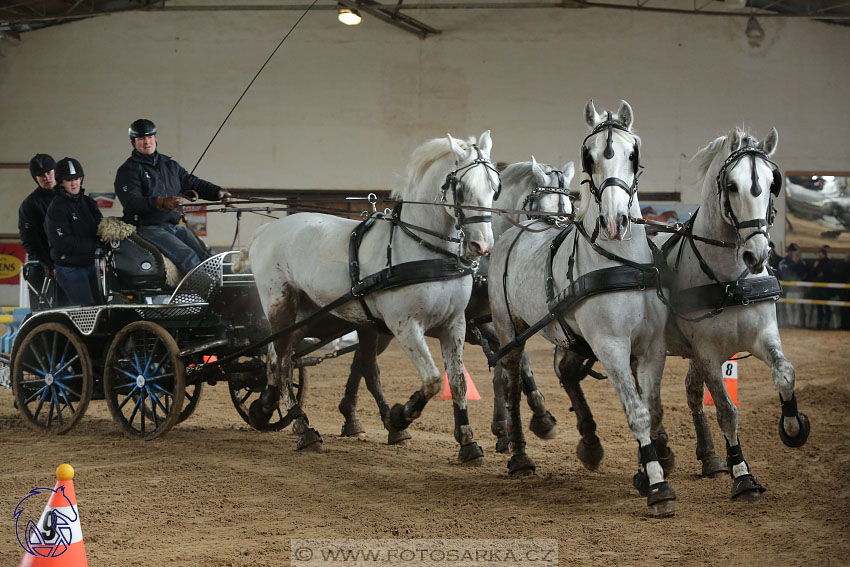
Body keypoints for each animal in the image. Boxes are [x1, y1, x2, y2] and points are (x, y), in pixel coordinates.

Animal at [237, 134, 496, 466]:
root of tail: (267, 229)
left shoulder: (454, 325)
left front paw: (468, 443)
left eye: (495, 186)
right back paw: (303, 429)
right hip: (279, 304)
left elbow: (458, 383)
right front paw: (399, 417)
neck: (426, 250)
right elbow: (433, 380)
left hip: (305, 312)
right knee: (282, 364)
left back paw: (264, 409)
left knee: (275, 358)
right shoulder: (405, 326)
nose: (482, 245)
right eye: (461, 187)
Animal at [486, 100, 672, 516]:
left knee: (566, 372)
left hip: (572, 336)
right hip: (510, 329)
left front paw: (654, 465)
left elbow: (652, 408)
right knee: (511, 380)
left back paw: (589, 443)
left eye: (633, 154)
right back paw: (520, 454)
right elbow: (636, 412)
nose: (616, 221)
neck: (622, 262)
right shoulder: (610, 345)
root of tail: (517, 233)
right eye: (589, 157)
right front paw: (657, 486)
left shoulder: (652, 347)